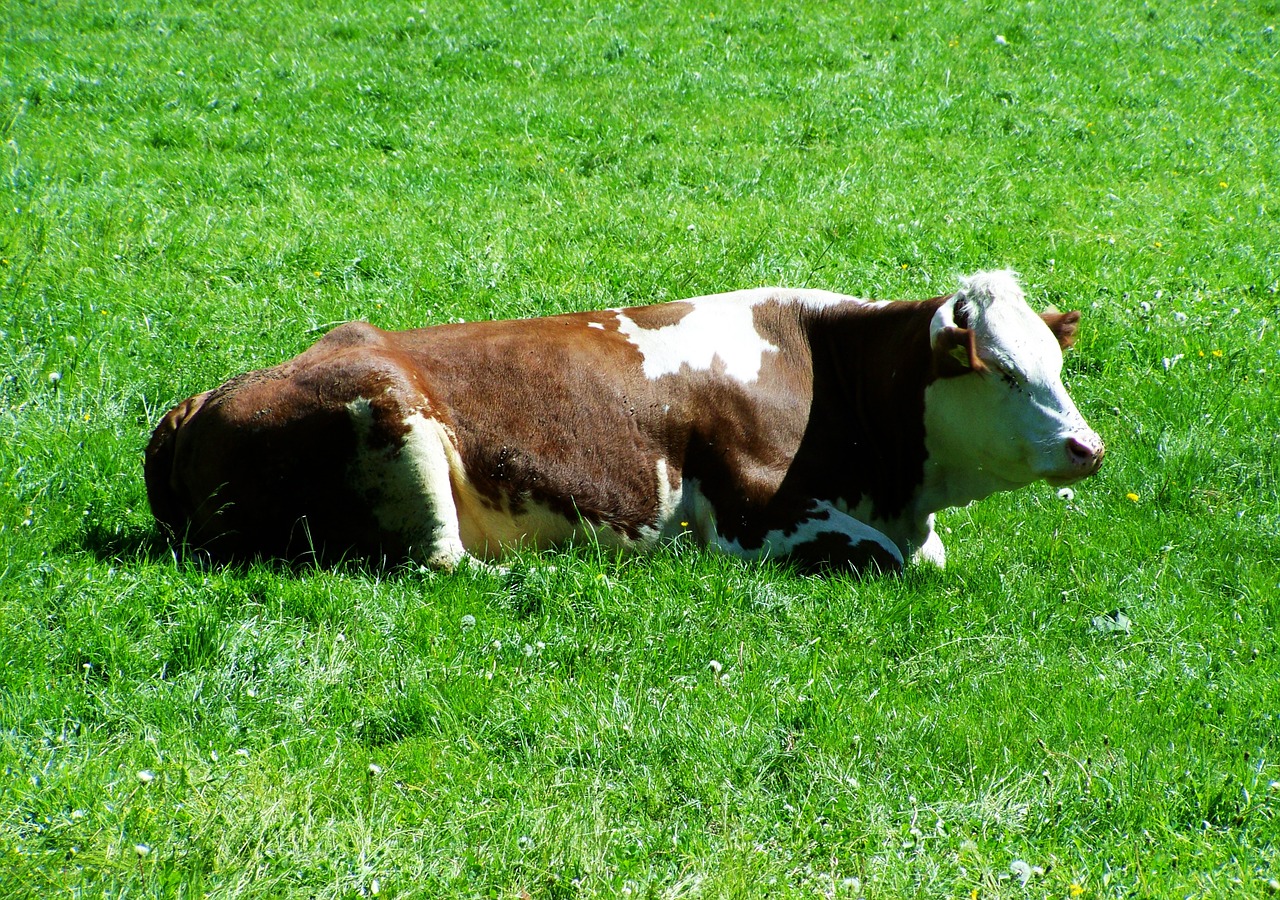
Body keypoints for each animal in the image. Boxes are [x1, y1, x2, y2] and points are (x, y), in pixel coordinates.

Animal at [145, 271, 1105, 573]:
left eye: (1057, 368)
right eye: (1005, 372)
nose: (1087, 447)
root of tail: (198, 402)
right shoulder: (756, 514)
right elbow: (895, 561)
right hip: (392, 411)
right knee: (441, 559)